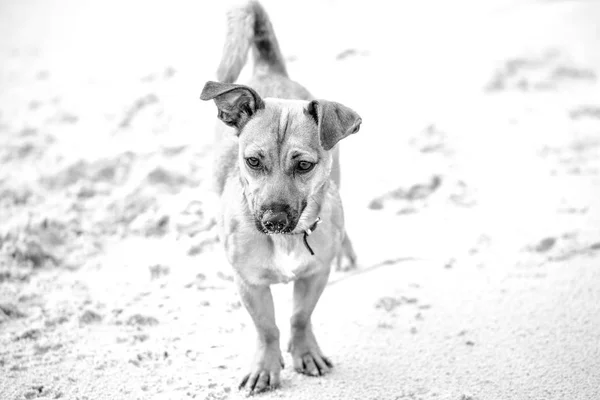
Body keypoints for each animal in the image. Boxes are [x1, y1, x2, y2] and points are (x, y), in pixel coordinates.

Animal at [200, 0, 360, 394]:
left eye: (303, 165)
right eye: (253, 161)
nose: (273, 221)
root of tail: (268, 69)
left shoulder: (315, 274)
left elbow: (300, 316)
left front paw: (305, 352)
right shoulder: (249, 284)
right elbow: (267, 327)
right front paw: (266, 366)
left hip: (338, 178)